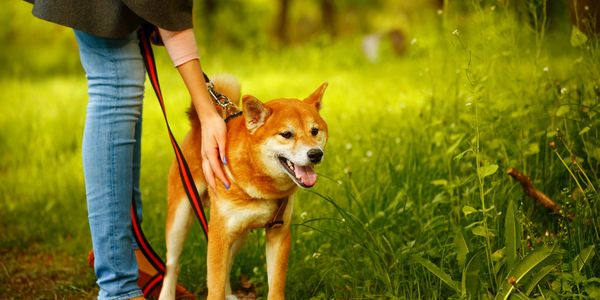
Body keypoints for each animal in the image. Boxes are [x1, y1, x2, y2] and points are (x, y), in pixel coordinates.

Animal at [158, 75, 328, 300]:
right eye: (286, 134)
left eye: (314, 131)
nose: (315, 154)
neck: (263, 188)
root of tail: (198, 125)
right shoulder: (219, 235)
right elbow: (214, 287)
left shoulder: (279, 235)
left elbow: (275, 286)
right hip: (181, 218)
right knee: (173, 265)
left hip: (240, 234)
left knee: (228, 263)